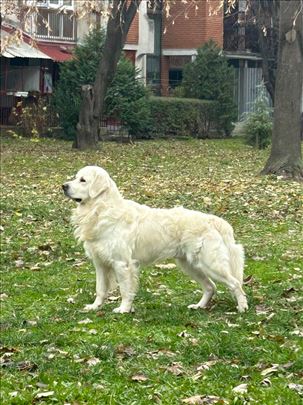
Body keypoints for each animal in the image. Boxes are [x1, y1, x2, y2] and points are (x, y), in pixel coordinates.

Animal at [62, 164, 249, 312]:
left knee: (235, 284)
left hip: (210, 263)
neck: (100, 209)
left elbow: (125, 290)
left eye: (83, 180)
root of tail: (213, 220)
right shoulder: (100, 263)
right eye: (76, 177)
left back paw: (242, 308)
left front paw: (124, 309)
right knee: (211, 286)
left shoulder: (122, 263)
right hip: (190, 265)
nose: (63, 186)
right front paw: (95, 306)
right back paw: (199, 306)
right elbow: (100, 289)